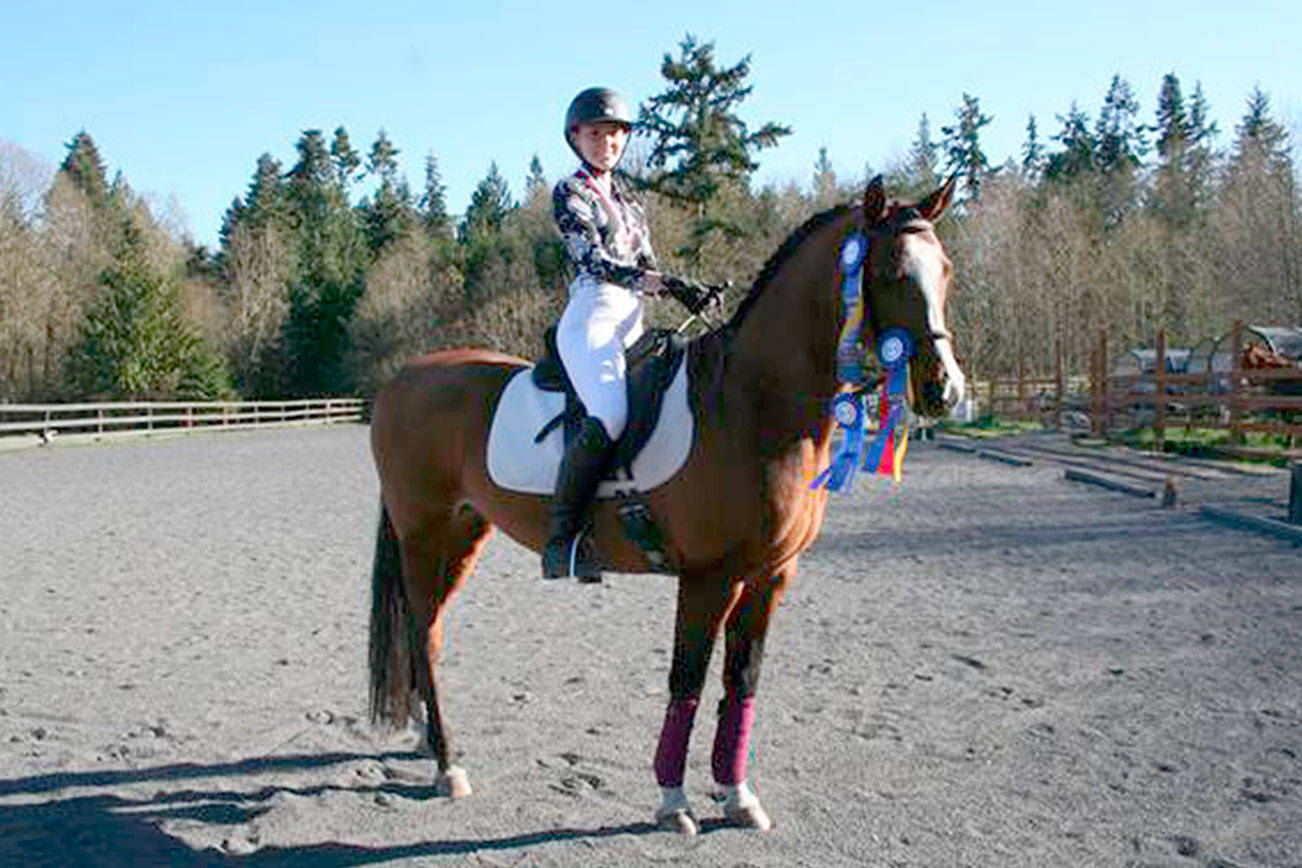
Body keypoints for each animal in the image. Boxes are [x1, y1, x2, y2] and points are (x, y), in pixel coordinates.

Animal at [367, 174, 965, 834]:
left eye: (944, 270)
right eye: (889, 272)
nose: (945, 389)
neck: (751, 405)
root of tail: (402, 379)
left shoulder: (771, 576)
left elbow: (742, 680)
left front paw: (737, 794)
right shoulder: (710, 577)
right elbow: (688, 679)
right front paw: (674, 800)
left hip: (463, 533)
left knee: (429, 631)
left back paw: (426, 737)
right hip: (421, 534)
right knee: (422, 632)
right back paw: (448, 764)